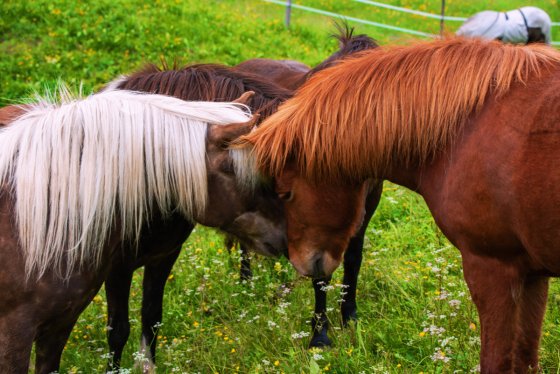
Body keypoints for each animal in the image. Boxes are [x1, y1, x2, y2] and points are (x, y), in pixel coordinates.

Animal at [0, 89, 286, 372]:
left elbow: (151, 317)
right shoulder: (16, 334)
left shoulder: (60, 325)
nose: (285, 239)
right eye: (239, 173)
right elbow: (118, 330)